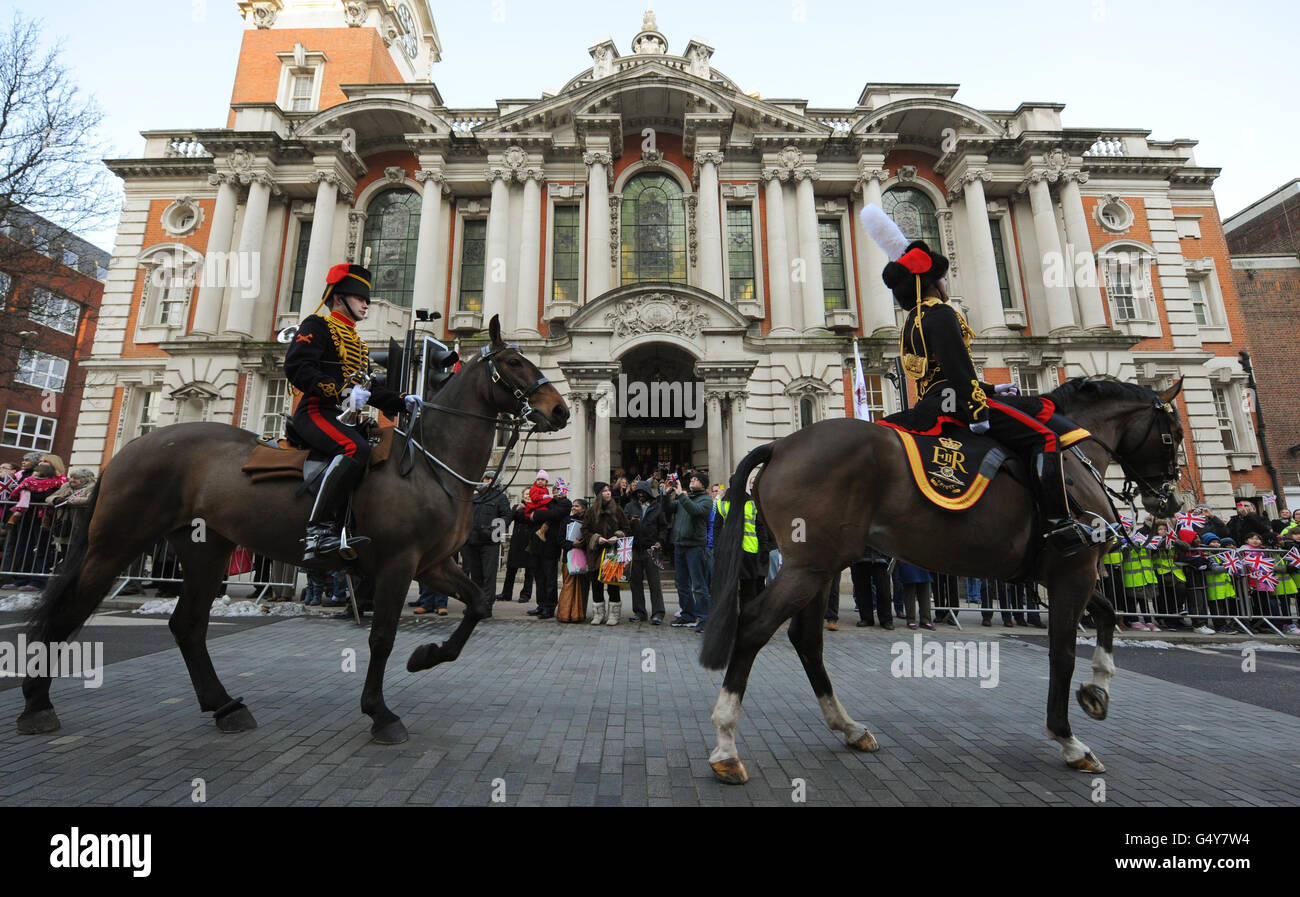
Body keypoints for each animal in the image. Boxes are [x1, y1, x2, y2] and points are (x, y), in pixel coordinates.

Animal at [13, 314, 564, 738]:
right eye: (514, 363)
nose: (558, 410)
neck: (431, 463)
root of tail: (129, 451)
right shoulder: (397, 563)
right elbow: (382, 636)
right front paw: (380, 713)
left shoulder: (432, 563)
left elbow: (478, 603)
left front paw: (426, 656)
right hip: (116, 543)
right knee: (70, 612)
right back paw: (38, 705)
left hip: (204, 549)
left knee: (187, 624)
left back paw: (225, 707)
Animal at [707, 377, 1185, 780]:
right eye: (1173, 435)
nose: (1170, 502)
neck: (1067, 460)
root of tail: (780, 444)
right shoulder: (1075, 570)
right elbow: (1063, 653)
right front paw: (1069, 740)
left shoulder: (1065, 572)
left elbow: (1105, 617)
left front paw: (1097, 693)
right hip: (808, 565)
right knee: (753, 626)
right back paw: (726, 746)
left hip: (818, 564)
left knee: (806, 639)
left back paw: (849, 728)